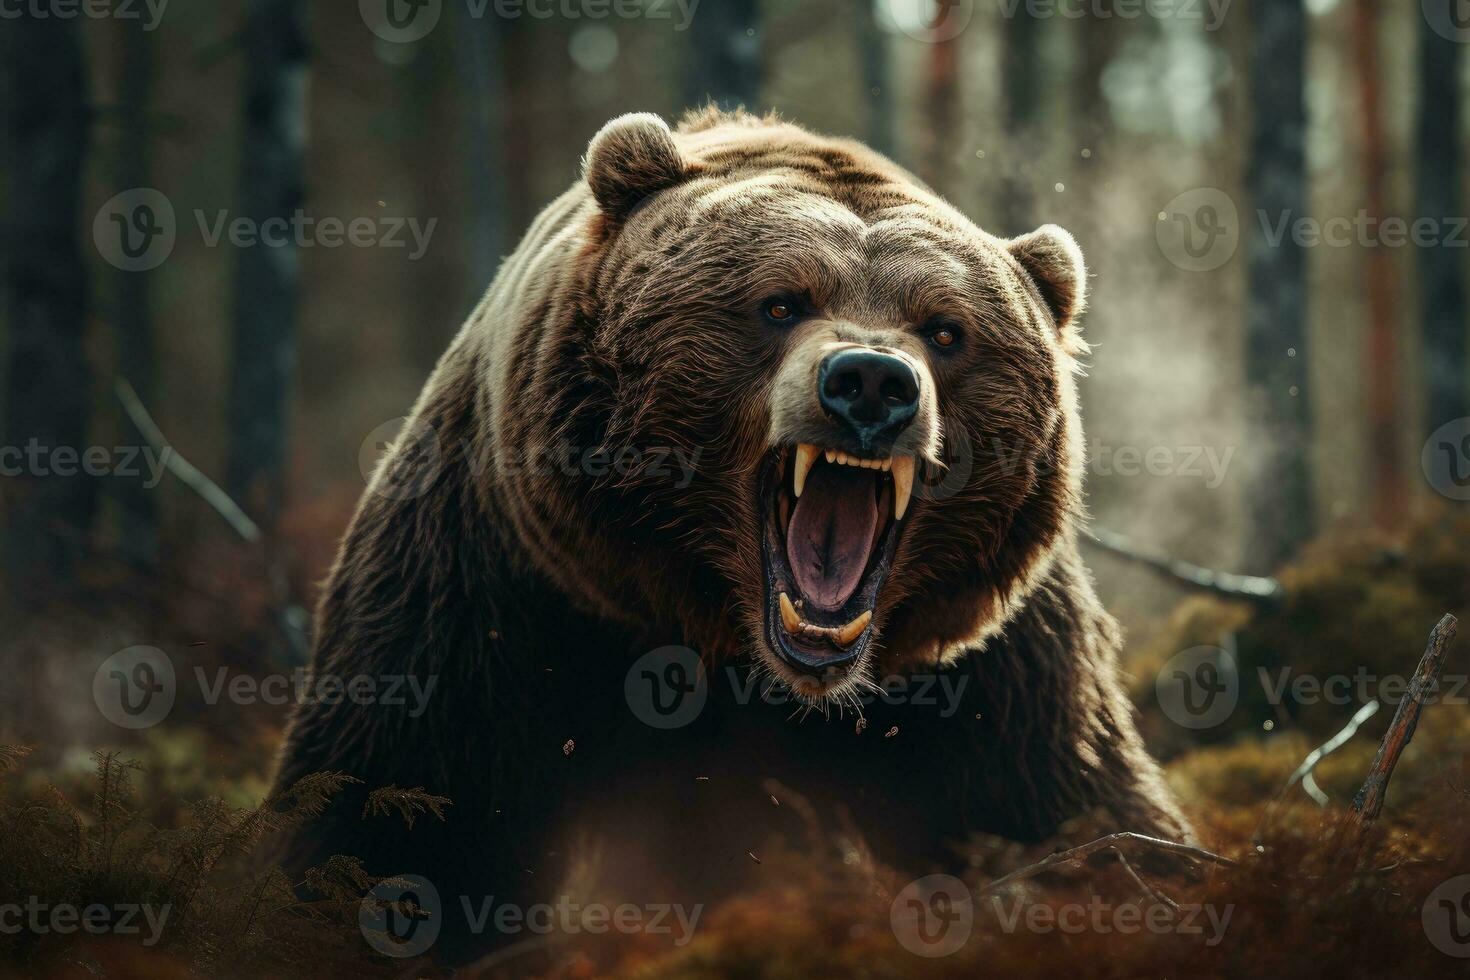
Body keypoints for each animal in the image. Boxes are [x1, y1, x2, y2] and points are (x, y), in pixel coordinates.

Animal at [277, 105, 1193, 957]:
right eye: (780, 301)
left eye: (944, 328)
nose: (871, 382)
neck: (733, 648)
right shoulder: (494, 596)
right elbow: (406, 817)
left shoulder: (988, 673)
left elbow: (1071, 809)